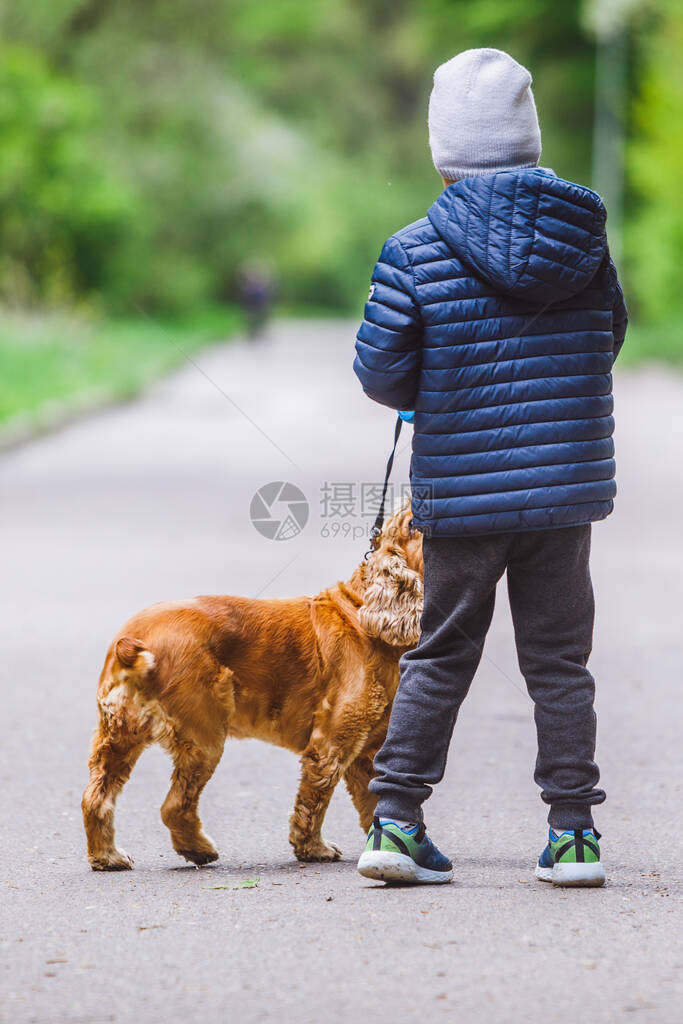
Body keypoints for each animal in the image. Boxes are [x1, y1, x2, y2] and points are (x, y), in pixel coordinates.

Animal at [80, 499, 421, 868]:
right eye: (414, 523)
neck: (361, 612)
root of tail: (133, 641)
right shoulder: (330, 746)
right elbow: (313, 803)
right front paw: (314, 849)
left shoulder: (363, 752)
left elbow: (374, 803)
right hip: (204, 736)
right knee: (174, 806)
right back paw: (197, 849)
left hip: (118, 737)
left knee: (95, 798)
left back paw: (107, 856)